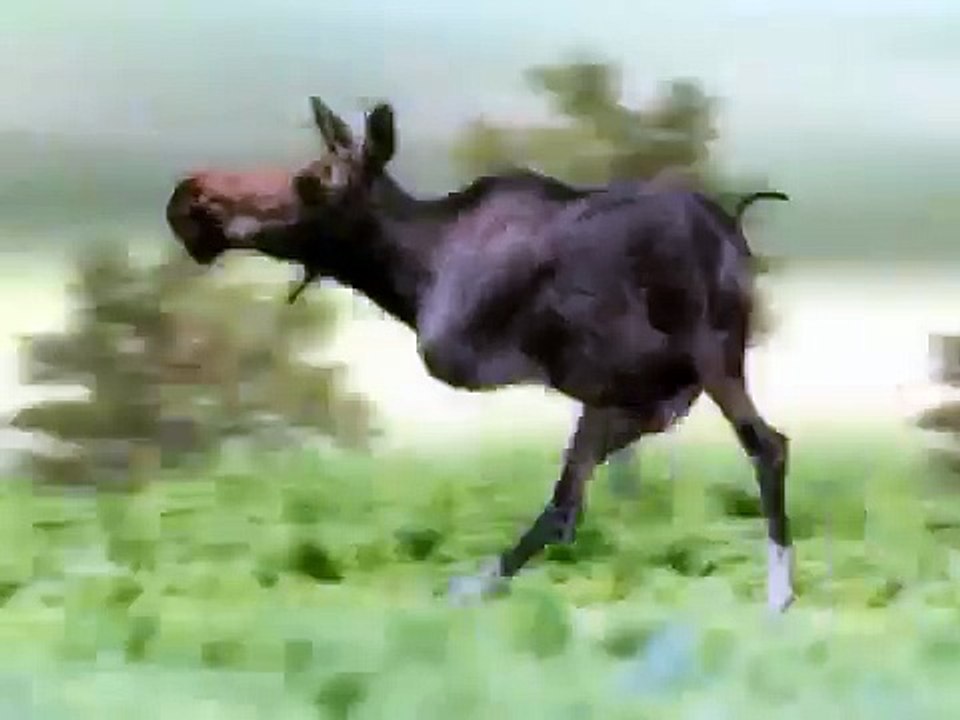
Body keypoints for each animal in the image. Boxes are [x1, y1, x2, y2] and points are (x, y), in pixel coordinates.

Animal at [165, 97, 794, 612]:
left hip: (709, 355)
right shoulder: (634, 399)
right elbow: (567, 504)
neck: (415, 270)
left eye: (312, 179)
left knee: (767, 445)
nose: (189, 197)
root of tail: (735, 229)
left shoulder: (611, 376)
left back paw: (778, 598)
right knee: (574, 506)